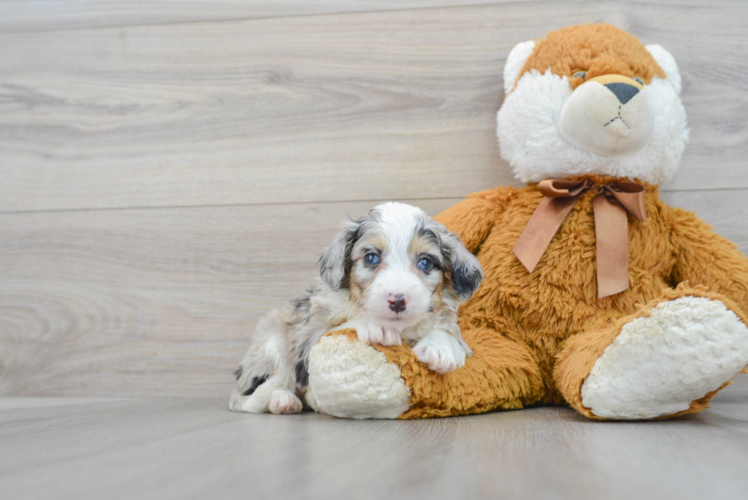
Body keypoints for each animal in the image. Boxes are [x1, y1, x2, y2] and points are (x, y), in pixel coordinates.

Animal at [229, 201, 486, 416]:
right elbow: (345, 324)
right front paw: (375, 326)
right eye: (371, 258)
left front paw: (439, 348)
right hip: (273, 343)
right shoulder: (309, 337)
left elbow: (450, 337)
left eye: (425, 262)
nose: (397, 300)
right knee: (251, 396)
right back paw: (283, 400)